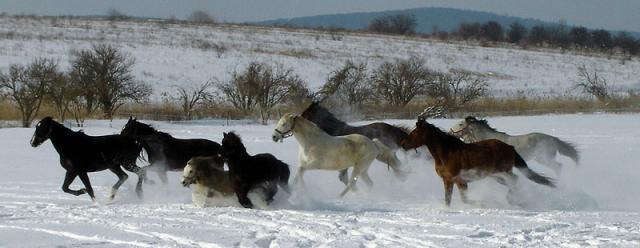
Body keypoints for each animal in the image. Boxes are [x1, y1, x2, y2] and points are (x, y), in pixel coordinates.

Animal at [272, 113, 402, 197]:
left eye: (284, 124)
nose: (274, 137)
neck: (310, 143)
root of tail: (373, 144)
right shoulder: (304, 165)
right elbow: (297, 177)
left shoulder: (314, 165)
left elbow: (299, 173)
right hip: (363, 170)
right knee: (369, 184)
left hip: (359, 167)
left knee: (351, 184)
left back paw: (339, 198)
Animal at [400, 113, 556, 206]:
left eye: (415, 132)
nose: (402, 143)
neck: (446, 153)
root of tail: (510, 147)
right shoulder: (451, 181)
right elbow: (453, 200)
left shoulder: (455, 180)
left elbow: (463, 200)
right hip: (496, 176)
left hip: (501, 172)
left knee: (514, 180)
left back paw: (513, 199)